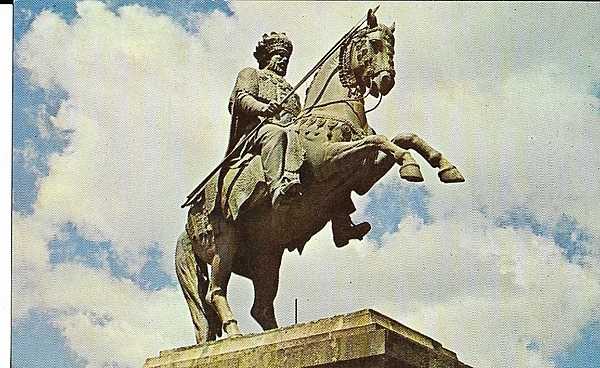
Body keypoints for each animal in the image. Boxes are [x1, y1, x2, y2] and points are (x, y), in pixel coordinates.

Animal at [173, 10, 464, 344]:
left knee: (261, 306)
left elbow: (402, 137)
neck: (334, 114)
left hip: (267, 258)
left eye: (392, 45)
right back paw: (236, 334)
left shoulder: (362, 174)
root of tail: (187, 227)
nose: (386, 80)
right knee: (214, 293)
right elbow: (379, 140)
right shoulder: (328, 160)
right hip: (225, 244)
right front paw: (411, 166)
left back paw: (281, 335)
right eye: (374, 44)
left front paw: (445, 166)